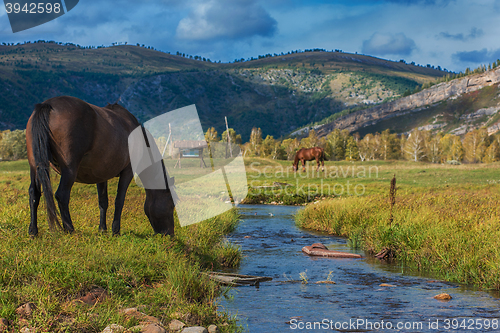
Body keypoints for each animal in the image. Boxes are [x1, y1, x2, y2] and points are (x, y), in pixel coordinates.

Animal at [26, 95, 178, 236]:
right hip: (69, 169)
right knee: (62, 195)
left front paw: (102, 229)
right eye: (171, 204)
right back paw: (70, 230)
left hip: (35, 166)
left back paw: (33, 231)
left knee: (34, 193)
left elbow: (103, 202)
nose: (170, 234)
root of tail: (48, 104)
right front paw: (115, 231)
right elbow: (119, 200)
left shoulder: (100, 175)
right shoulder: (127, 172)